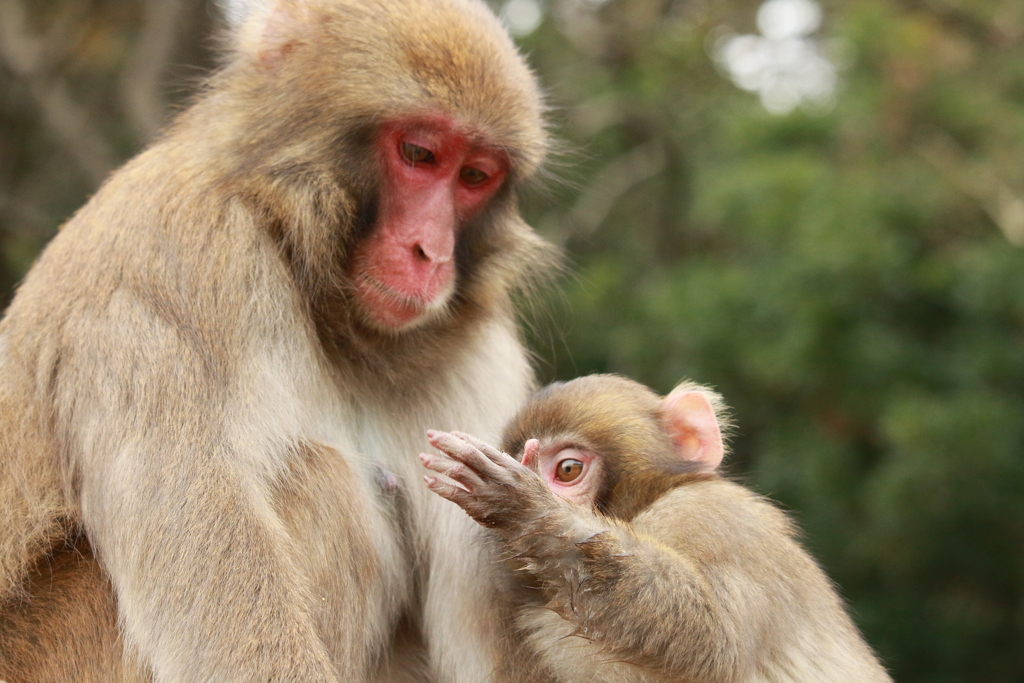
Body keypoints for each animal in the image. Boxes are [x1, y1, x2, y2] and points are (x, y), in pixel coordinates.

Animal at [0, 1, 552, 683]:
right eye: (420, 153)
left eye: (475, 175)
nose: (431, 253)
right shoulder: (184, 255)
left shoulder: (477, 357)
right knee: (321, 483)